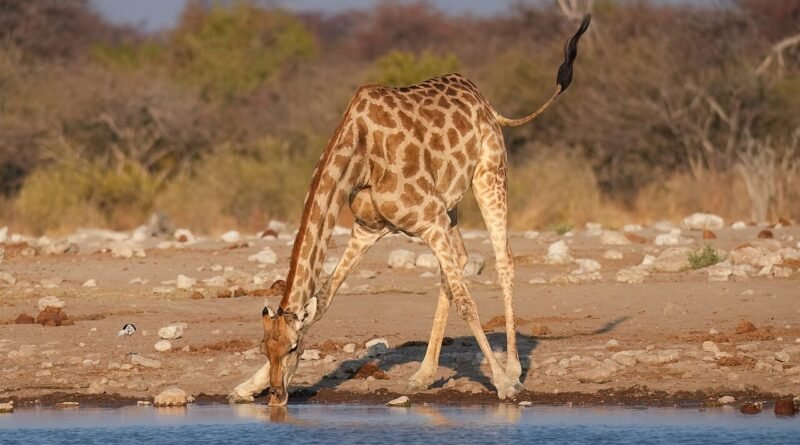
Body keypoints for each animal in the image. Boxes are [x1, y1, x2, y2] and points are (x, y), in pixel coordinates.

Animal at [231, 15, 591, 406]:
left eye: (295, 348)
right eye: (265, 348)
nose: (277, 397)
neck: (359, 154)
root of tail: (486, 103)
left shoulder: (428, 220)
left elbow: (467, 302)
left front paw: (503, 384)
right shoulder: (368, 228)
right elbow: (324, 299)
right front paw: (246, 386)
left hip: (489, 175)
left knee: (503, 259)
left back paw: (511, 370)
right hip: (449, 206)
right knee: (459, 262)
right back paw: (422, 375)